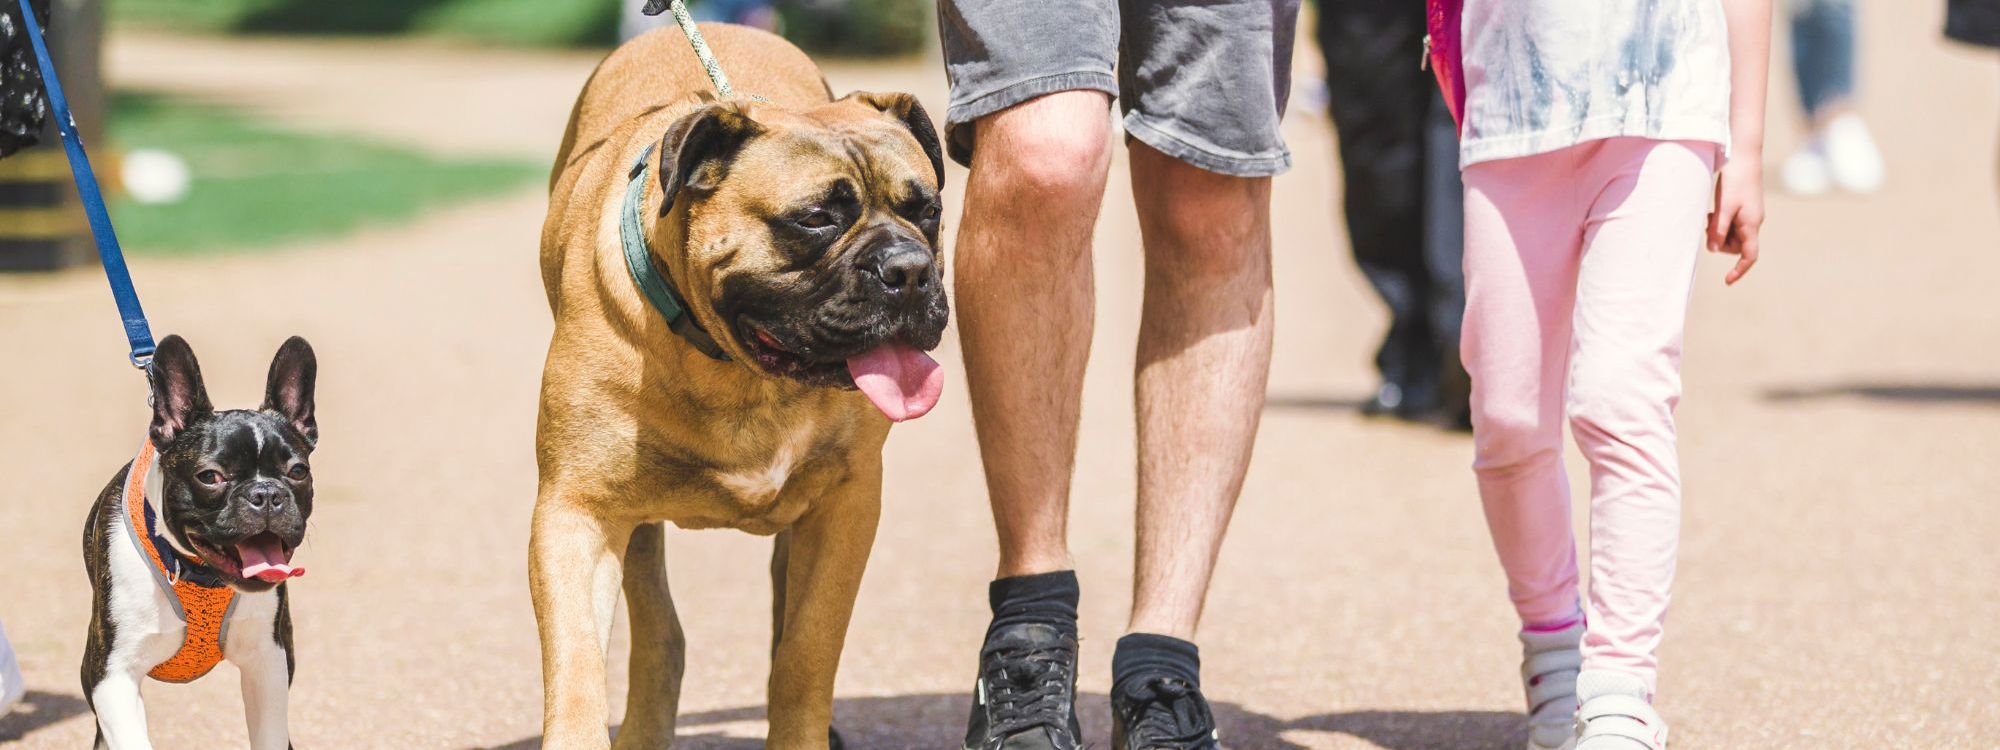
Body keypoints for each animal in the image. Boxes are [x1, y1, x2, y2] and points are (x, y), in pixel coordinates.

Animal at [536, 20, 948, 748]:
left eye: (927, 210)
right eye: (815, 218)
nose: (909, 269)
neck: (740, 373)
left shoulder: (845, 508)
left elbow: (806, 653)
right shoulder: (576, 509)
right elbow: (578, 663)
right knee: (658, 630)